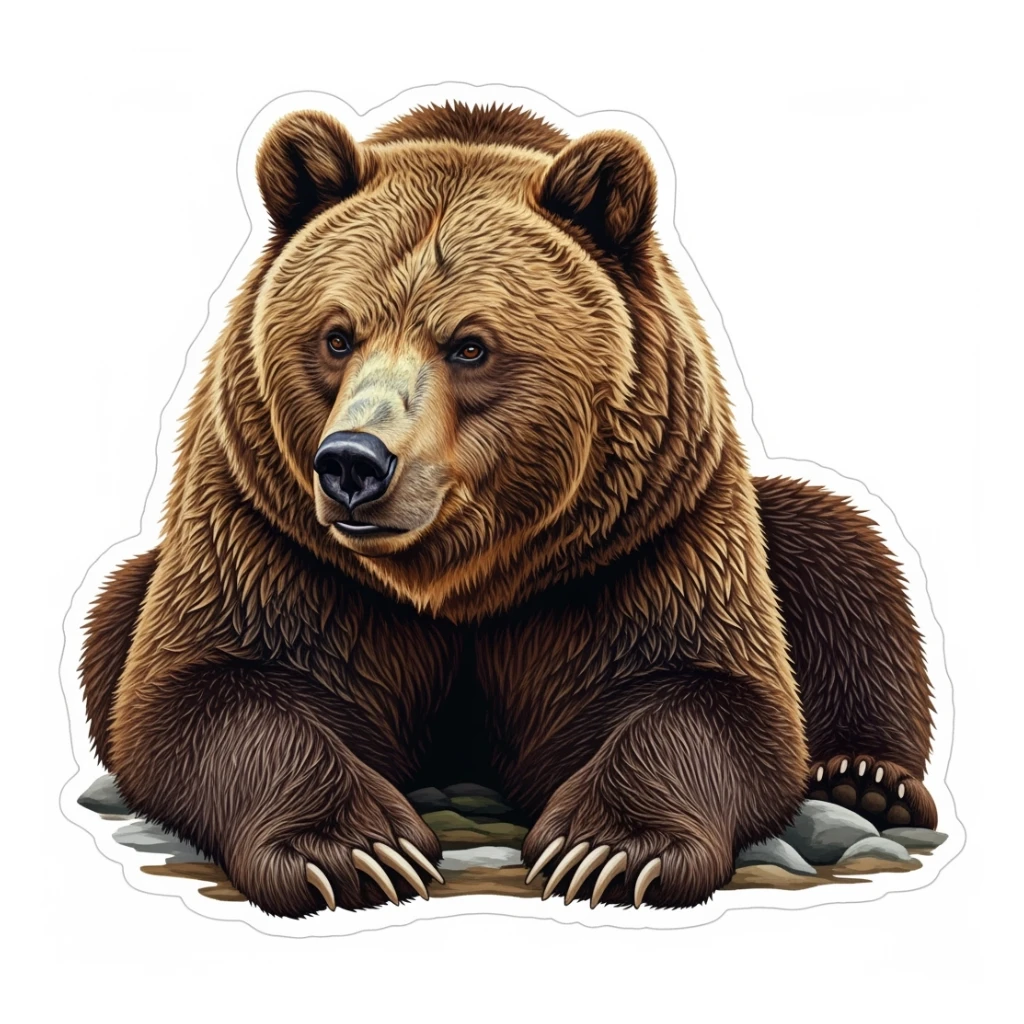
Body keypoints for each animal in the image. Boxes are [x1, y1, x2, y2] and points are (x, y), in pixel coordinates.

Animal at [80, 101, 938, 918]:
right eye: (337, 335)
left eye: (469, 345)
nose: (353, 463)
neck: (462, 577)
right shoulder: (271, 533)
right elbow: (203, 689)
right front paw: (353, 850)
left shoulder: (639, 543)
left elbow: (711, 695)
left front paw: (610, 848)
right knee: (116, 605)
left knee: (837, 547)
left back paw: (866, 777)